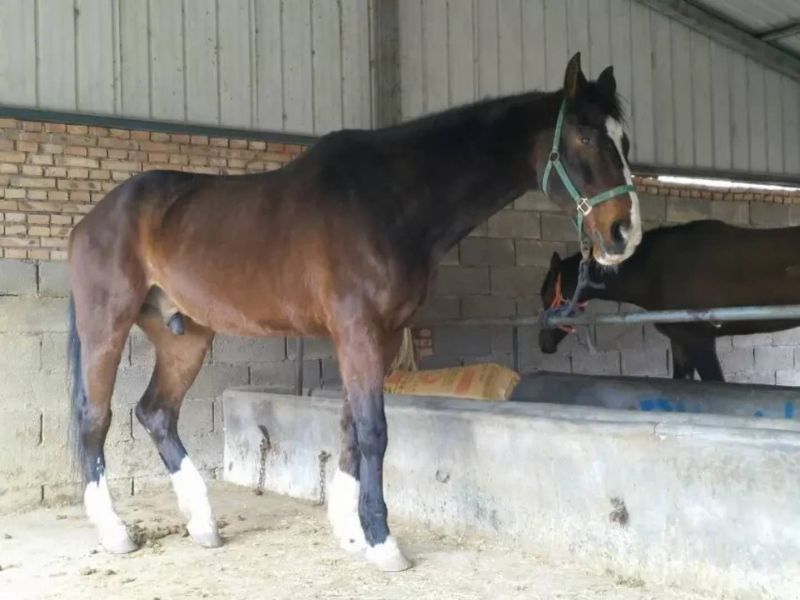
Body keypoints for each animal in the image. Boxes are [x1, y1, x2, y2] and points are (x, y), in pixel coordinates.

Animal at [67, 52, 641, 571]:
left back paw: (203, 526)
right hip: (107, 325)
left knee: (156, 413)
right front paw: (383, 542)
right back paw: (116, 533)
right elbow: (373, 431)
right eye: (585, 137)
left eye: (625, 141)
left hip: (184, 336)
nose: (623, 234)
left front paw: (349, 532)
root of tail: (90, 220)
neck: (389, 200)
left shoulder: (380, 337)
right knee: (96, 417)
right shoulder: (358, 330)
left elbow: (349, 427)